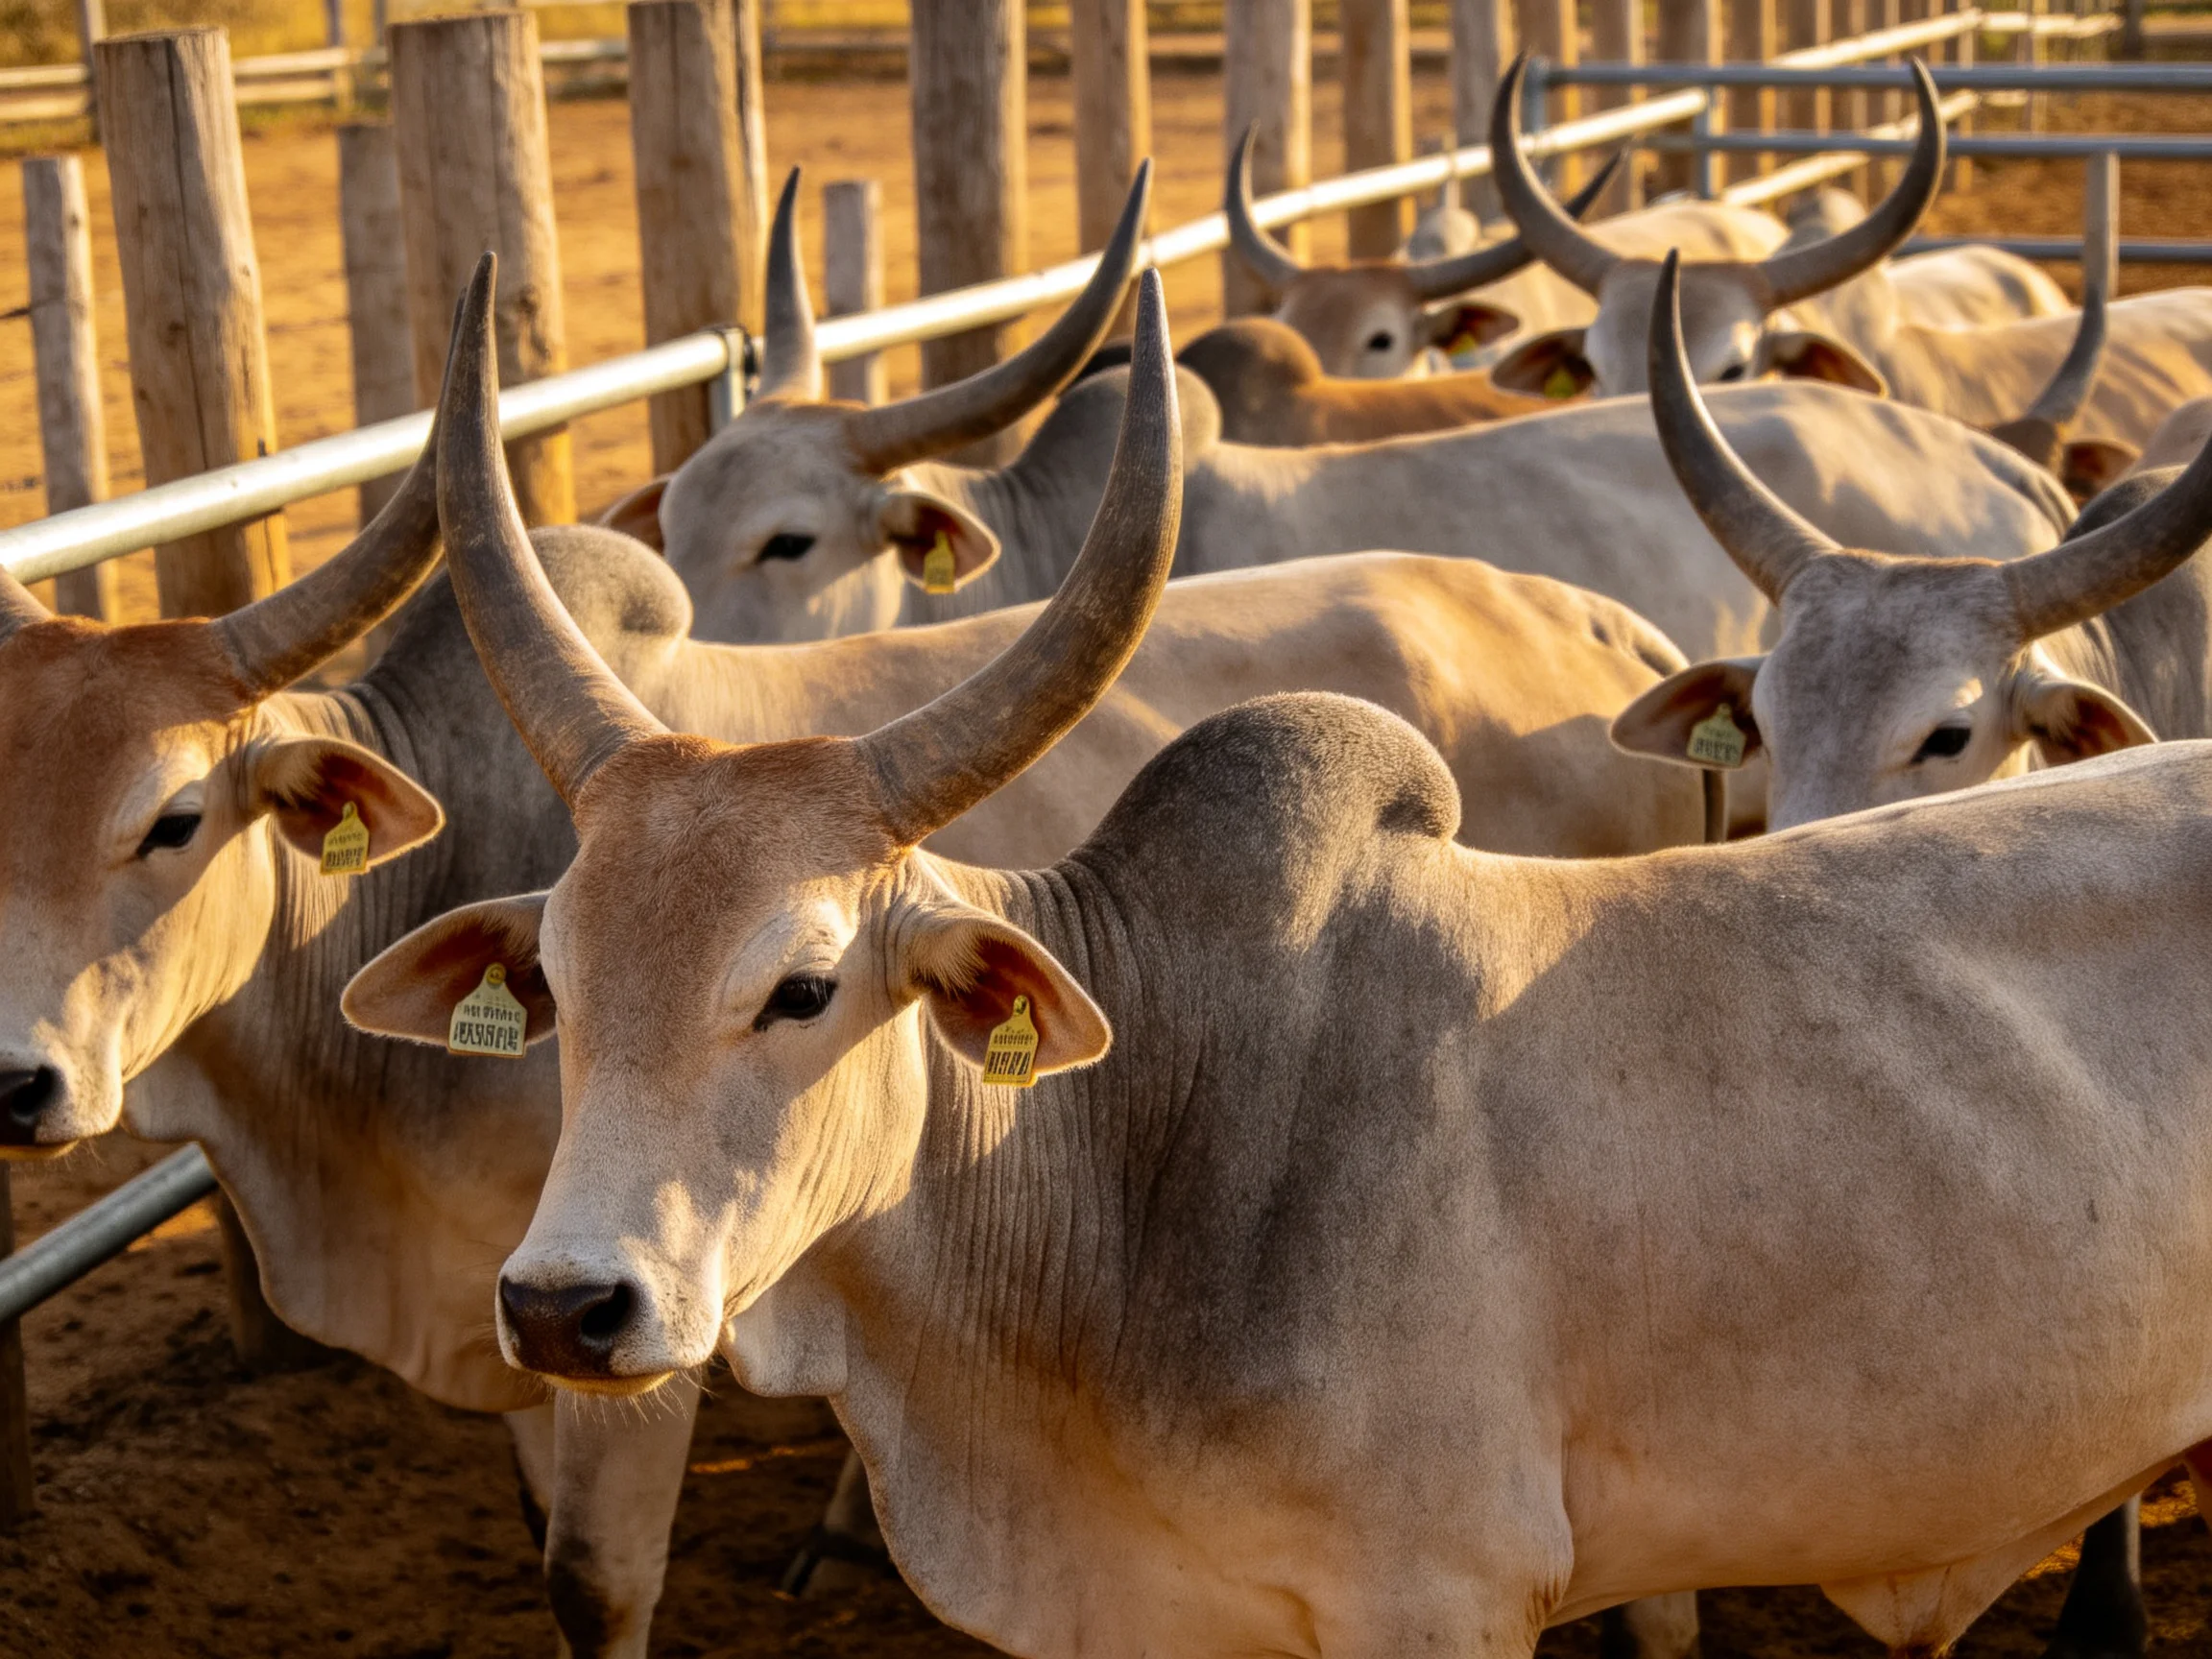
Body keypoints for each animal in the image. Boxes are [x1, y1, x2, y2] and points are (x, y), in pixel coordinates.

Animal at [0, 259, 1723, 1657]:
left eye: (171, 818)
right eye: (553, 974)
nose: (16, 1081)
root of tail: (1595, 627)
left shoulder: (631, 1342)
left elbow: (590, 1578)